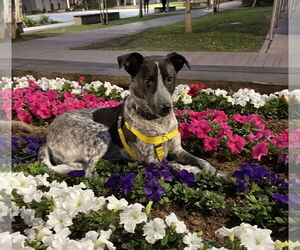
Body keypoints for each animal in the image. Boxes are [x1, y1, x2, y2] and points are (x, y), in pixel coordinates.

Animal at [37, 52, 225, 178]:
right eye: (148, 81)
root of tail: (46, 137)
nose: (166, 108)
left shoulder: (177, 150)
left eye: (169, 78)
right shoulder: (151, 161)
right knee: (86, 171)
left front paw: (216, 172)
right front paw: (194, 171)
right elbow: (175, 166)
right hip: (101, 133)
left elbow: (202, 161)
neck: (159, 124)